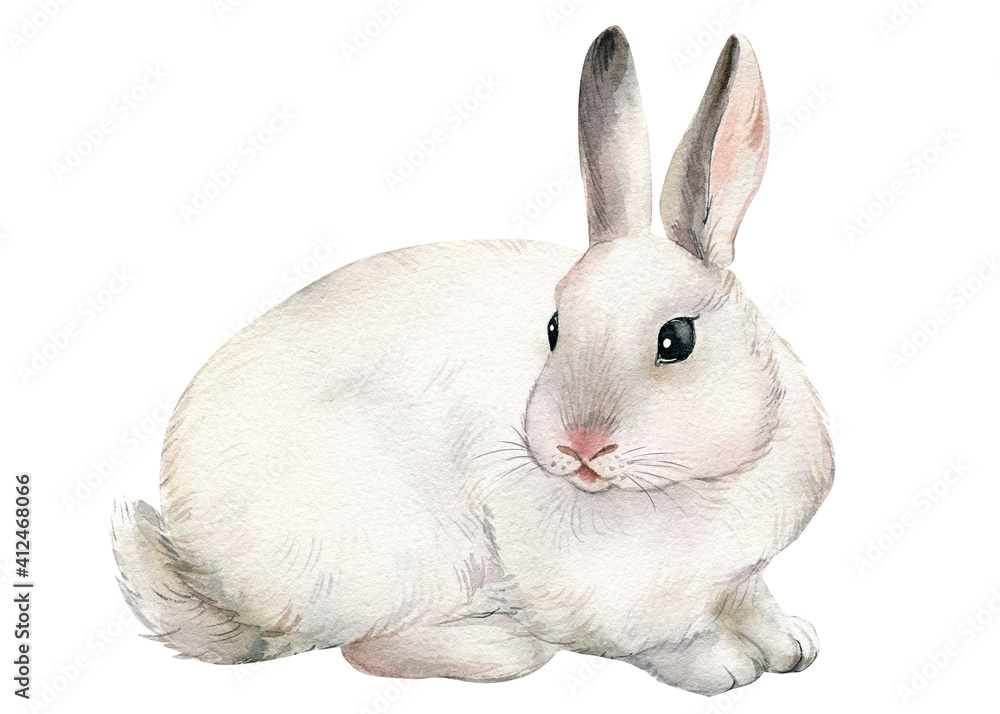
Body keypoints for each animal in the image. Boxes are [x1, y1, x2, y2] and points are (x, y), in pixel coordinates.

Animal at [112, 26, 833, 696]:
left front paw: (792, 644)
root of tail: (208, 576)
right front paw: (725, 666)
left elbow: (753, 598)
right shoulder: (608, 602)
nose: (580, 445)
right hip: (406, 556)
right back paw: (500, 642)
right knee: (368, 648)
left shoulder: (739, 575)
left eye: (676, 339)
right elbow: (662, 641)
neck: (690, 483)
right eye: (554, 328)